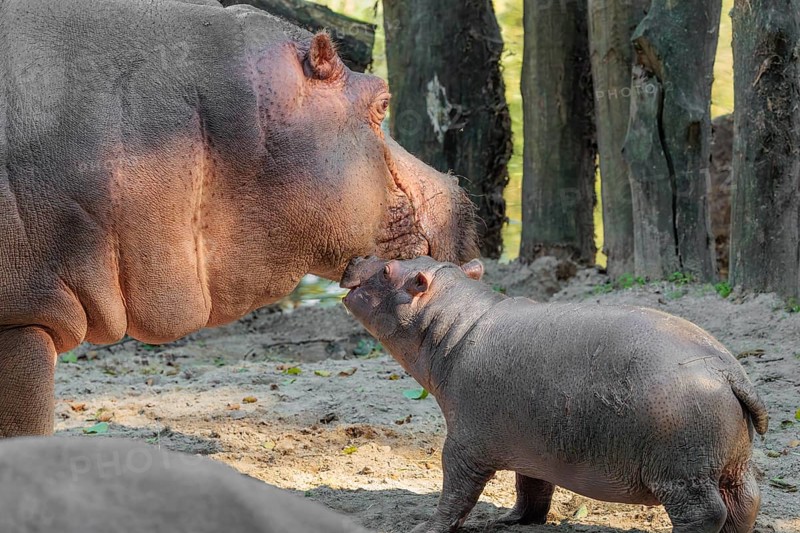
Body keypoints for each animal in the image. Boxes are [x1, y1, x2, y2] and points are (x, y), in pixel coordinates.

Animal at [340, 256, 769, 533]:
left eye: (387, 271)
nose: (359, 254)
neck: (453, 324)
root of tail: (726, 368)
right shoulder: (530, 444)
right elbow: (531, 486)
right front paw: (509, 521)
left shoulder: (463, 443)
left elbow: (455, 493)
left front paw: (425, 528)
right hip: (730, 466)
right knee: (745, 504)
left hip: (682, 473)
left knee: (704, 514)